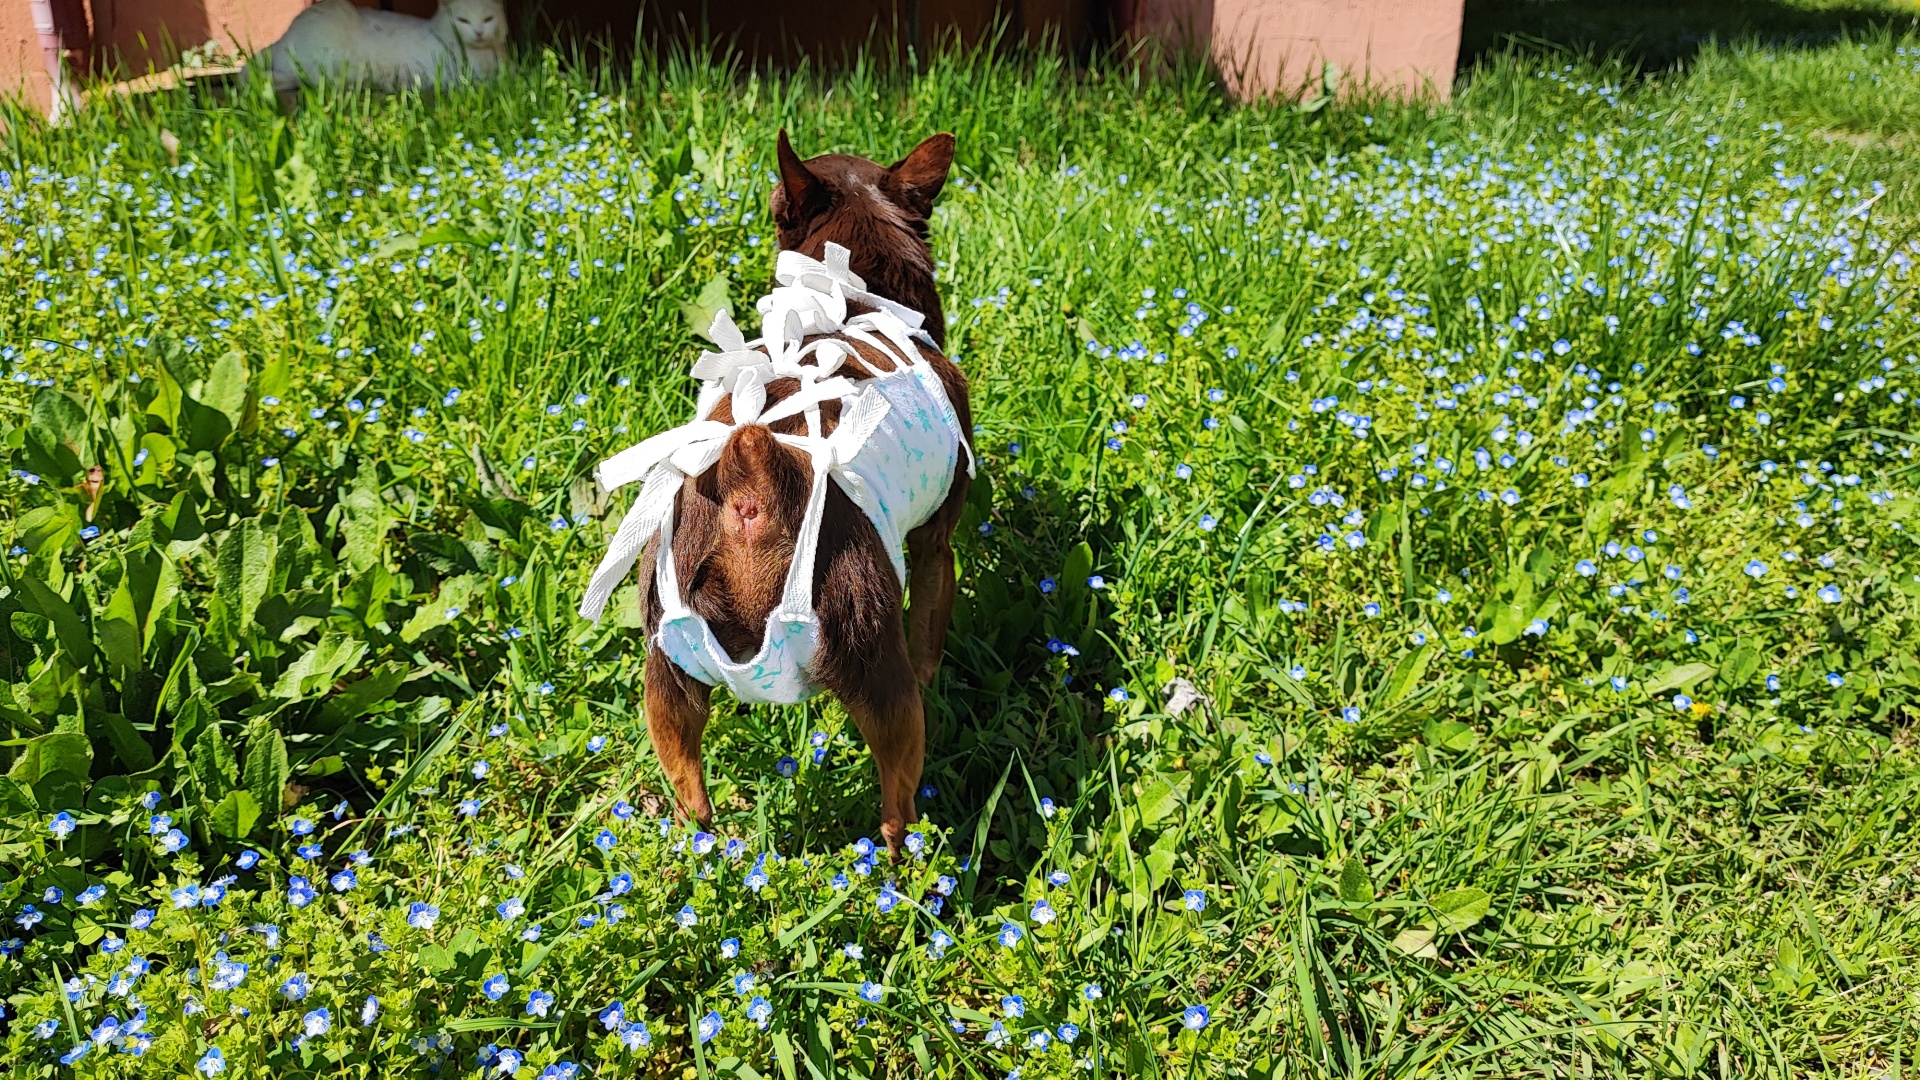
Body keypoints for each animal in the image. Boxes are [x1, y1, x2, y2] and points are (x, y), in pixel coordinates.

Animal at [633, 130, 967, 849]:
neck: (850, 300)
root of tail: (752, 475)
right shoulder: (937, 550)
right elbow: (930, 638)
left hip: (668, 677)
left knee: (691, 794)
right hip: (878, 671)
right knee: (896, 803)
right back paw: (907, 864)